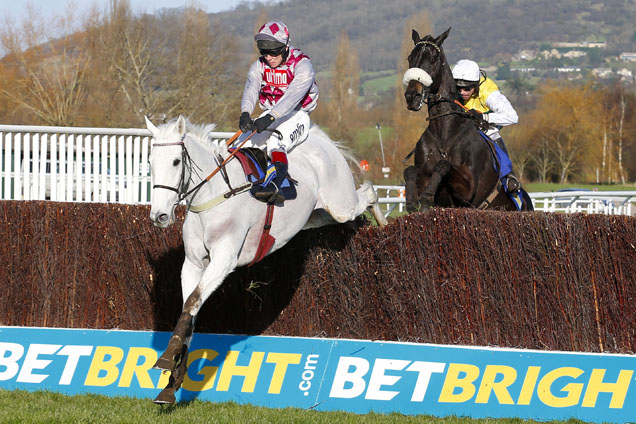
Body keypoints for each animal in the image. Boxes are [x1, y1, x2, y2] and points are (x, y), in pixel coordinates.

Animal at [147, 116, 386, 404]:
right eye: (150, 162)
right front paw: (172, 382)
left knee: (368, 194)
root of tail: (321, 139)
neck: (213, 196)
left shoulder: (225, 259)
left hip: (341, 203)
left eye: (175, 161)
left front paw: (166, 358)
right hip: (315, 216)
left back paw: (382, 221)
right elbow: (189, 312)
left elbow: (192, 301)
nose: (159, 216)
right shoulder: (193, 264)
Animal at [402, 27, 532, 212]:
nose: (412, 96)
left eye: (433, 59)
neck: (444, 136)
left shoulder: (469, 188)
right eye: (410, 58)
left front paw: (427, 197)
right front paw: (413, 202)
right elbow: (410, 171)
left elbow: (443, 165)